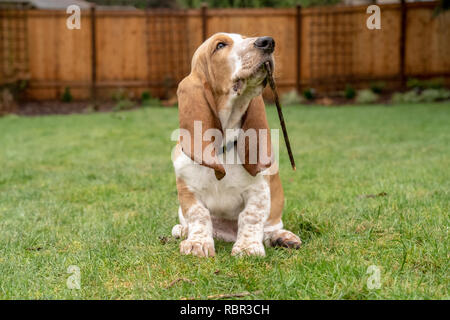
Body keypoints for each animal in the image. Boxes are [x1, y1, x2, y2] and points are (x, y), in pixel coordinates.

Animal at [171, 33, 300, 258]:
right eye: (220, 45)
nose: (268, 42)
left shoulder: (258, 190)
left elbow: (250, 216)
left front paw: (248, 247)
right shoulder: (187, 190)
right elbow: (199, 215)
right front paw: (197, 243)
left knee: (270, 229)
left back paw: (283, 237)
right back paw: (182, 230)